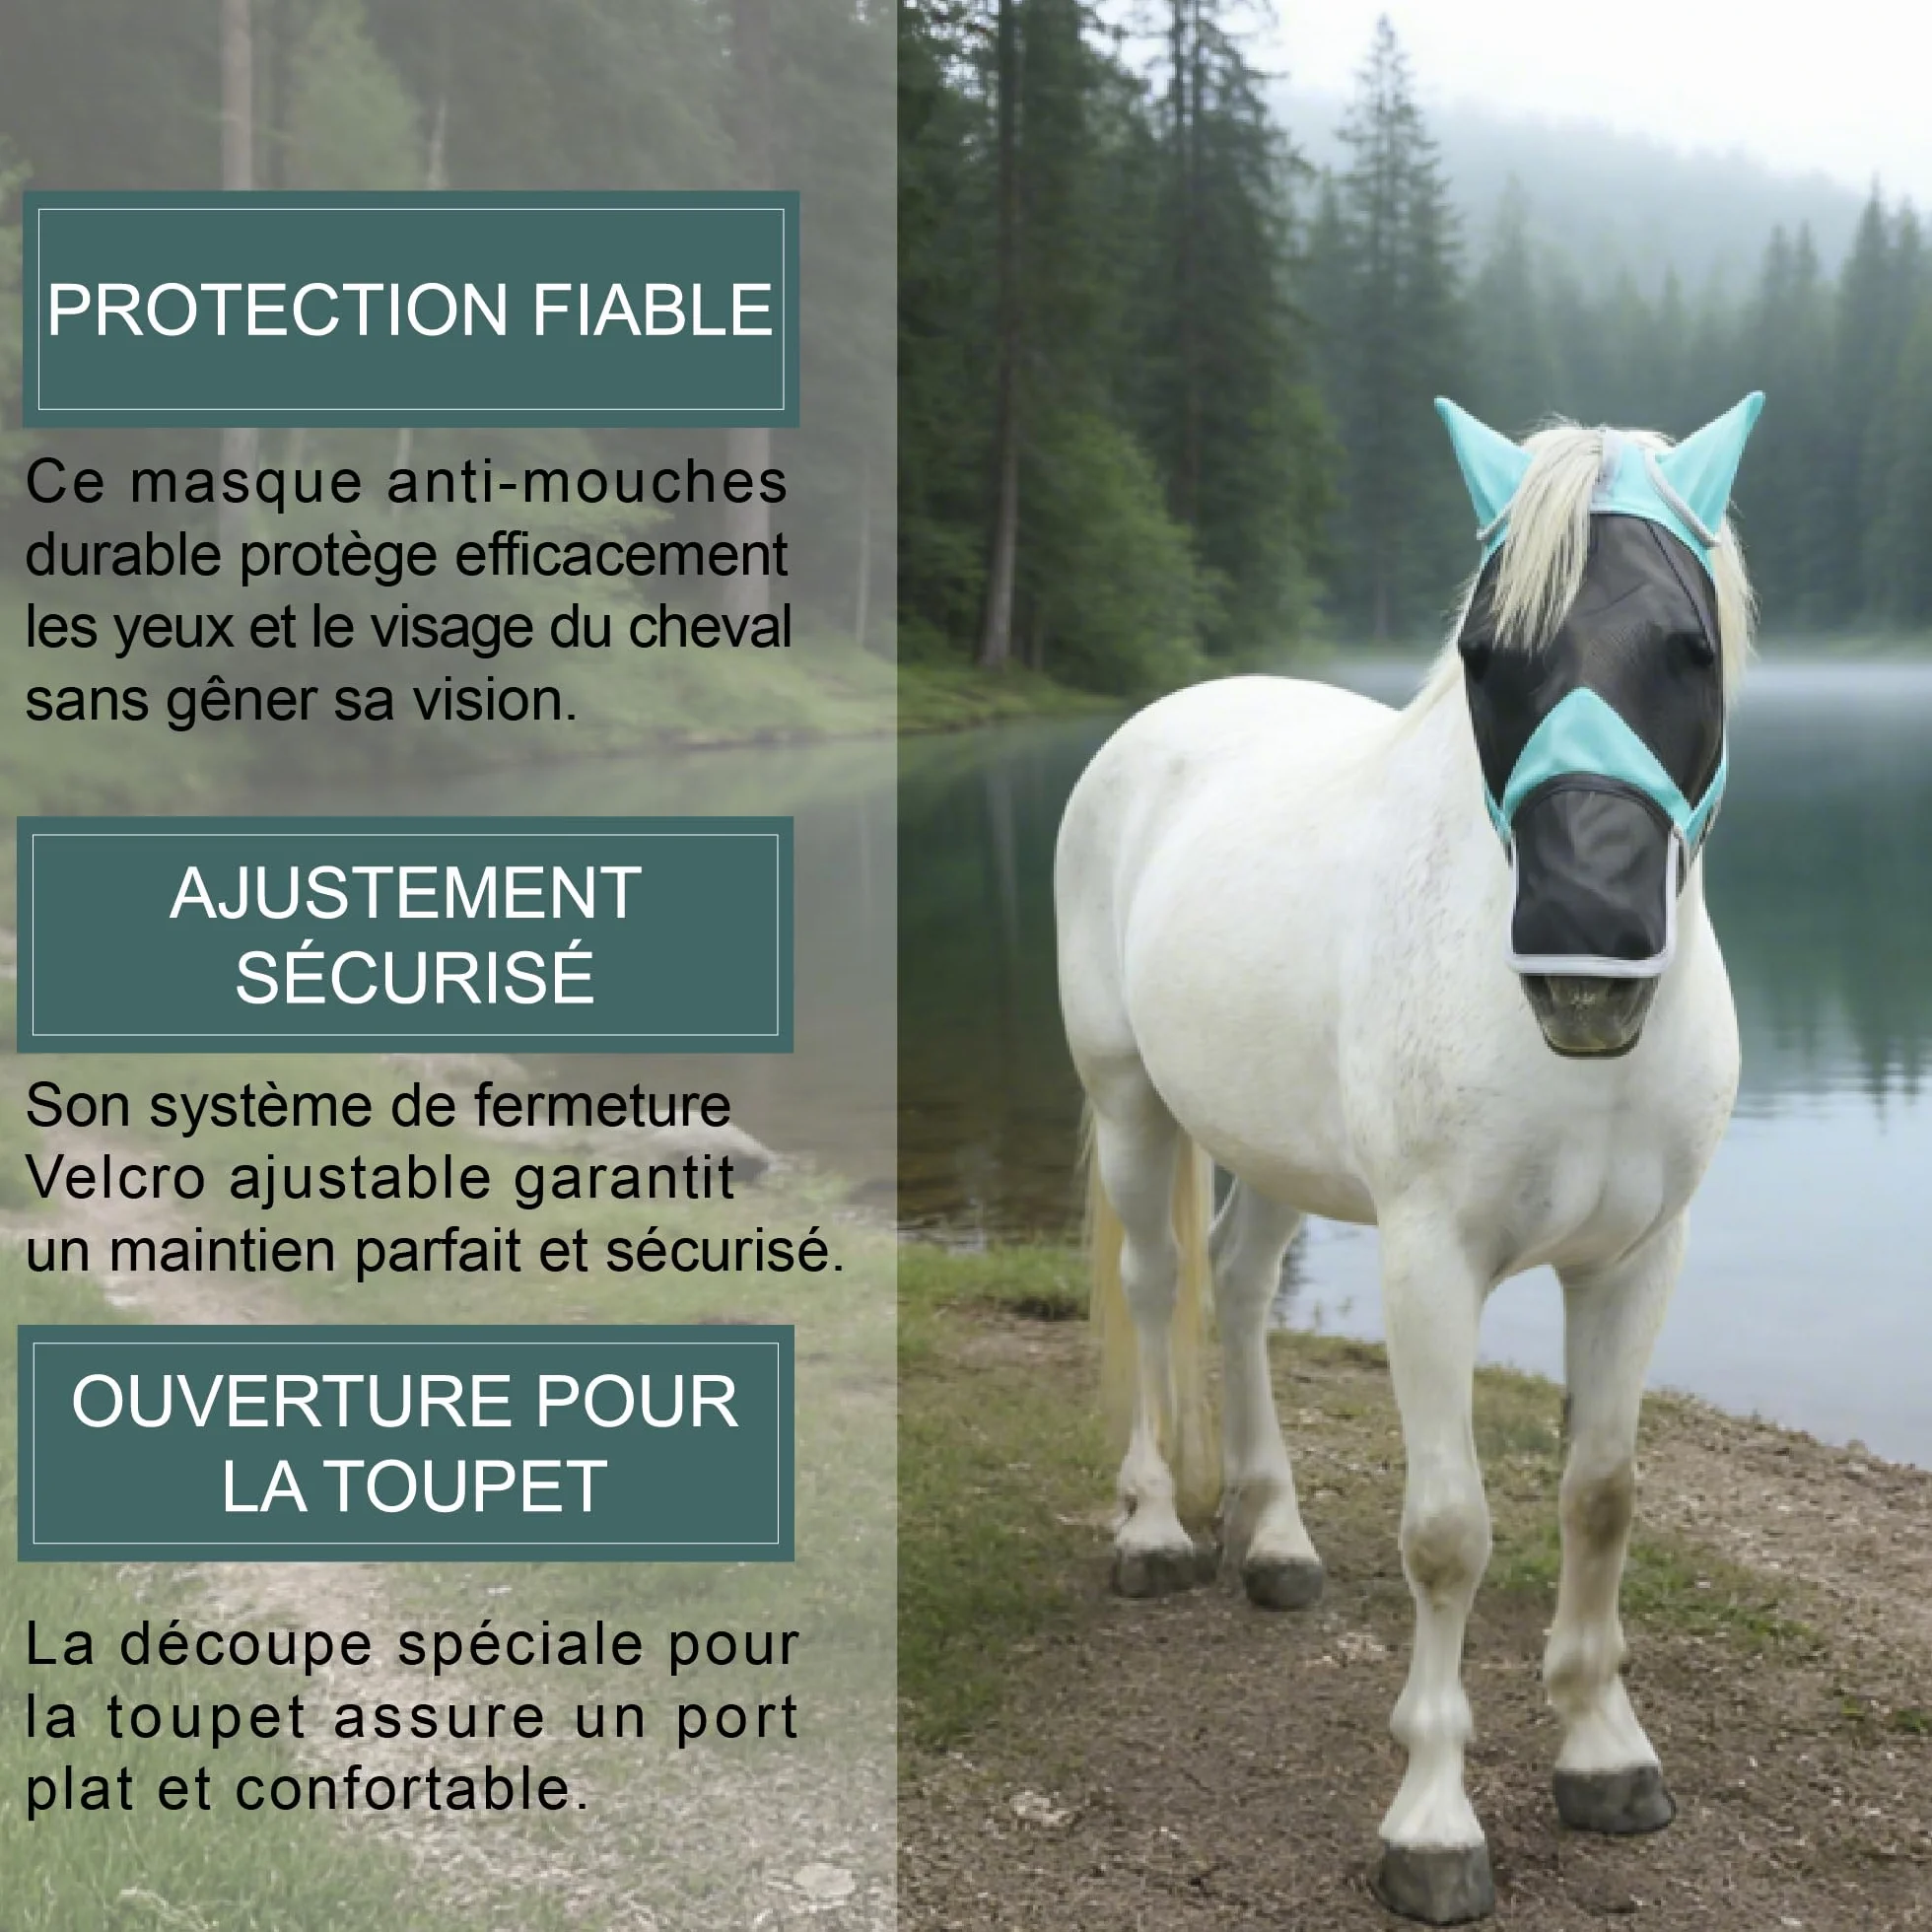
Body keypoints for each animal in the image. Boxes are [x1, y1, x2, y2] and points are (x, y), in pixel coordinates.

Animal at [1054, 394, 1764, 1924]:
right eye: (1489, 657)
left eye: (1689, 647)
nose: (1584, 953)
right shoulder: (1434, 1260)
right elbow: (1448, 1530)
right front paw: (1432, 1825)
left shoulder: (1637, 1260)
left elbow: (1601, 1494)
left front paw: (1605, 1753)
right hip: (1133, 1103)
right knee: (1156, 1286)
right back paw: (1154, 1532)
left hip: (1273, 1153)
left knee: (1239, 1287)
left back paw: (1274, 1543)